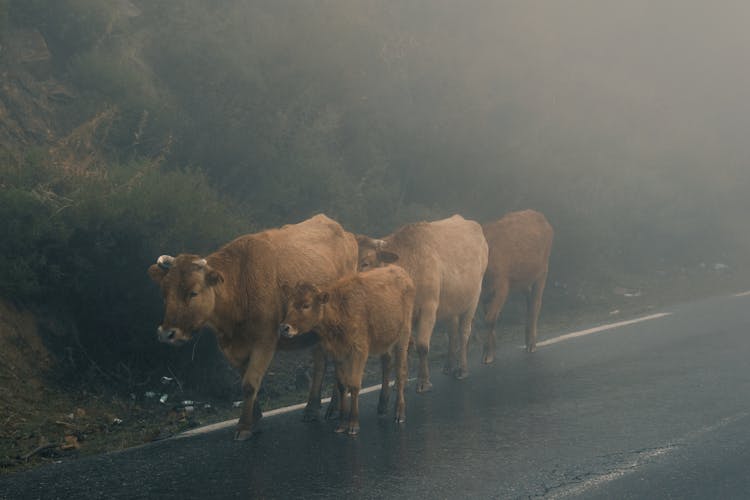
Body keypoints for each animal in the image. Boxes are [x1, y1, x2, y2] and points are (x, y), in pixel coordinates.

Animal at [148, 213, 360, 440]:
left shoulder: (265, 341)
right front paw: (255, 418)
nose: (166, 333)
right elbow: (246, 380)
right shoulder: (230, 348)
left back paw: (333, 408)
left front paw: (244, 426)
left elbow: (250, 383)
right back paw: (313, 408)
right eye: (164, 293)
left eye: (193, 292)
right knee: (321, 364)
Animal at [280, 266, 418, 434]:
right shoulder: (338, 353)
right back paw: (382, 406)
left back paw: (399, 413)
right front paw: (341, 423)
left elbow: (354, 384)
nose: (285, 327)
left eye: (306, 305)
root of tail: (400, 271)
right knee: (386, 366)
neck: (340, 310)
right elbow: (342, 385)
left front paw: (353, 423)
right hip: (385, 340)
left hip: (403, 337)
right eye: (289, 304)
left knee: (400, 373)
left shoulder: (359, 351)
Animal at [482, 208, 552, 360]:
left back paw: (531, 344)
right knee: (529, 302)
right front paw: (491, 349)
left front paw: (488, 354)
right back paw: (527, 340)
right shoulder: (483, 293)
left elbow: (490, 318)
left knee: (536, 304)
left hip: (542, 271)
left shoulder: (502, 286)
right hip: (523, 280)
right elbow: (488, 316)